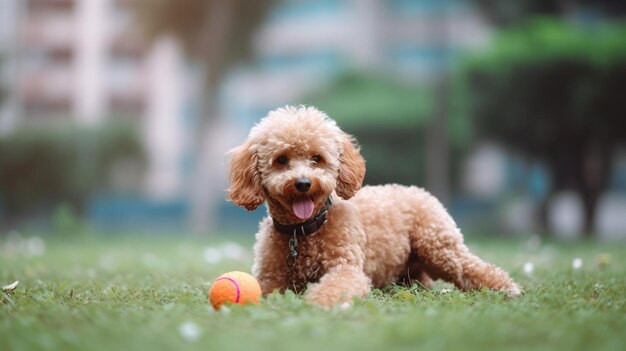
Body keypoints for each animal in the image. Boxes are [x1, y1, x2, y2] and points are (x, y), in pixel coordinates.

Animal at [227, 106, 520, 306]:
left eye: (316, 158)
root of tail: (418, 190)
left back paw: (507, 288)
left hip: (438, 247)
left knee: (472, 267)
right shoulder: (269, 277)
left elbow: (337, 285)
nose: (303, 183)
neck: (302, 232)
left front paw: (319, 302)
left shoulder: (346, 268)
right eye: (281, 159)